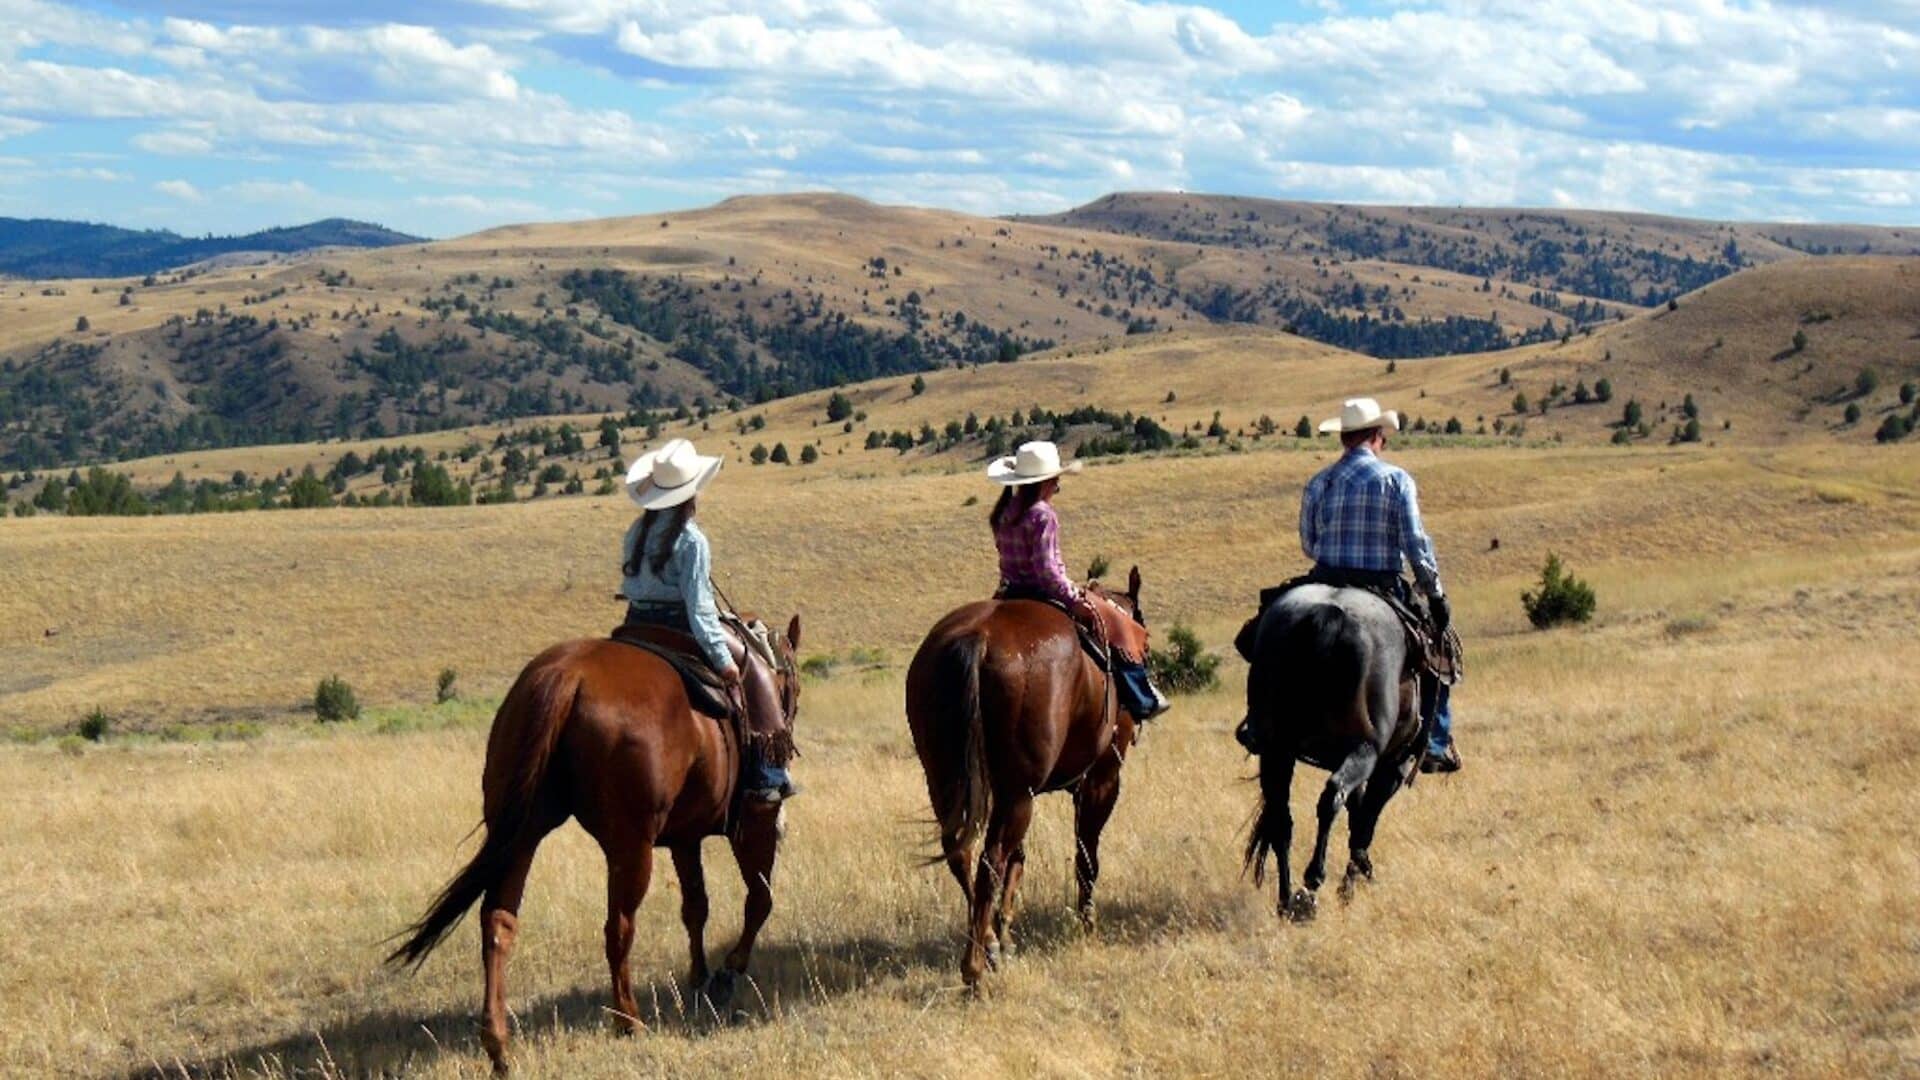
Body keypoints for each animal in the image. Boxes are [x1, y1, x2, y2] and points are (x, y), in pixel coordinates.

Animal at [389, 614, 802, 1068]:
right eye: (794, 687)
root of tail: (566, 676)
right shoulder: (756, 823)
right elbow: (759, 900)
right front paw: (726, 975)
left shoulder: (684, 837)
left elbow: (695, 906)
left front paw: (699, 978)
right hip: (630, 846)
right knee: (618, 926)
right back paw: (628, 1020)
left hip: (520, 833)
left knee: (498, 920)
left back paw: (498, 1044)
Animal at [906, 568, 1144, 991]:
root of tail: (978, 638)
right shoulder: (1102, 779)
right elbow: (1086, 855)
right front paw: (1087, 924)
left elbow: (1020, 861)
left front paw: (1004, 933)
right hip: (1019, 795)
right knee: (991, 859)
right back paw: (974, 968)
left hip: (952, 783)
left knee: (963, 853)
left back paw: (986, 943)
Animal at [1244, 580, 1428, 914]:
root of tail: (1325, 614)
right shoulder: (1392, 765)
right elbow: (1365, 822)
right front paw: (1353, 883)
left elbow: (1357, 815)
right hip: (1365, 749)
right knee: (1333, 795)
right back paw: (1312, 881)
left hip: (1277, 750)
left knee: (1281, 818)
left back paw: (1288, 901)